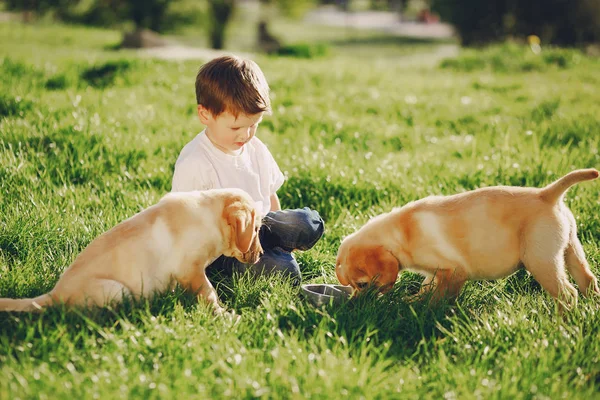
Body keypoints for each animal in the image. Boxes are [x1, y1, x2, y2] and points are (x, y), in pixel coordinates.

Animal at [0, 189, 262, 314]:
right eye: (257, 229)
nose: (259, 255)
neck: (209, 216)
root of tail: (54, 294)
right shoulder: (191, 270)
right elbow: (209, 293)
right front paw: (225, 314)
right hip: (115, 290)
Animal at [338, 169, 600, 310]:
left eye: (362, 284)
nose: (353, 305)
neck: (400, 233)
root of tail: (547, 195)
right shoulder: (436, 272)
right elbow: (427, 287)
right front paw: (413, 300)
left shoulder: (454, 271)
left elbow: (439, 297)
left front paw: (422, 309)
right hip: (571, 249)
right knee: (588, 281)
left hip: (541, 260)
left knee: (568, 294)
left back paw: (562, 324)